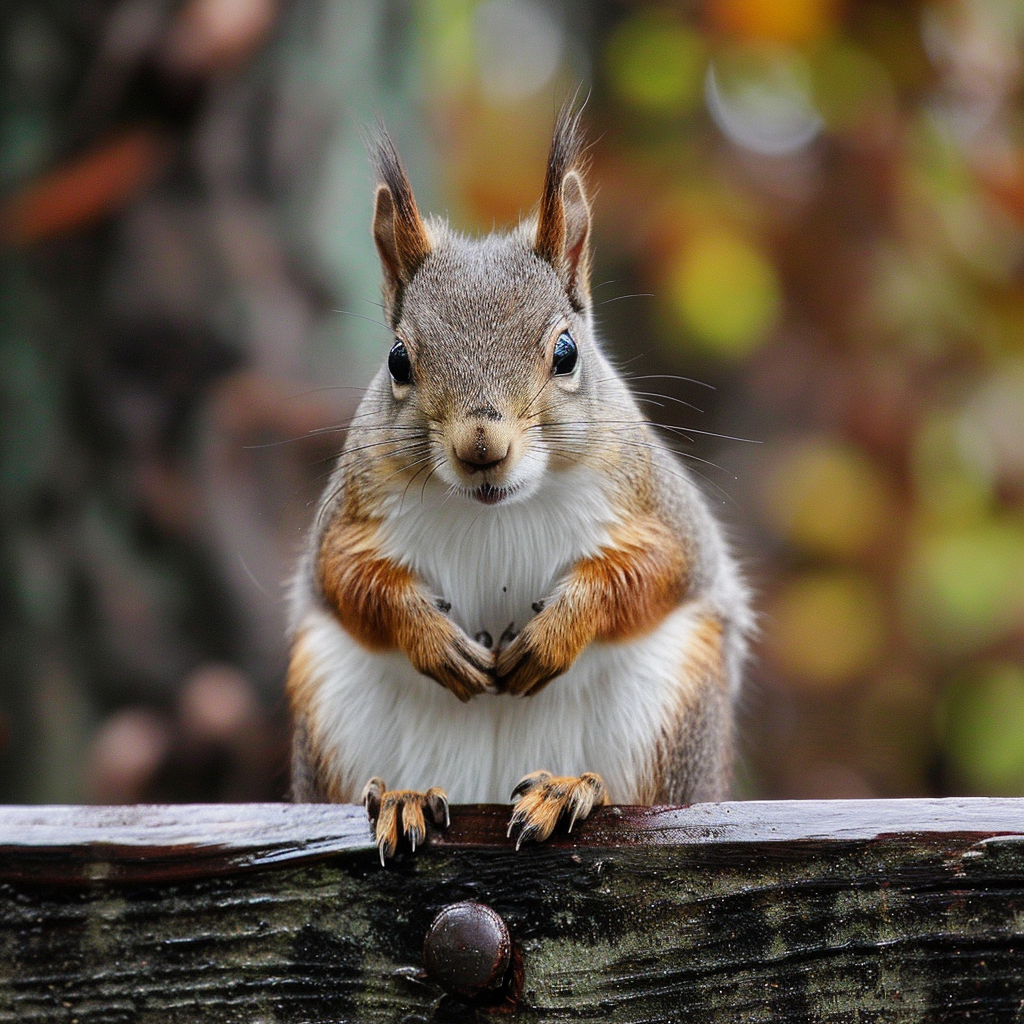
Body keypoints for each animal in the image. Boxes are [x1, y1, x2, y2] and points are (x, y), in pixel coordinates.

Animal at [288, 103, 753, 860]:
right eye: (397, 360)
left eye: (566, 352)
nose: (482, 446)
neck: (492, 510)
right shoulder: (351, 509)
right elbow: (343, 577)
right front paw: (429, 635)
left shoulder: (656, 504)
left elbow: (661, 568)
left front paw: (556, 632)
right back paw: (403, 797)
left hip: (672, 708)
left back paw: (570, 790)